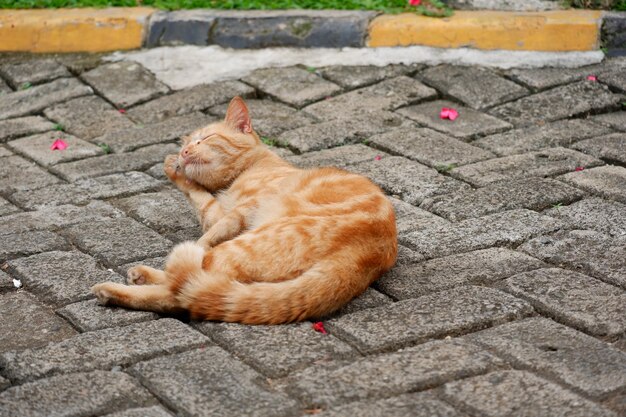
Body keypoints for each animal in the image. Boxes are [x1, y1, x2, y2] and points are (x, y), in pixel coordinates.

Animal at [91, 96, 394, 324]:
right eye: (187, 144)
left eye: (205, 139)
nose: (185, 152)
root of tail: (368, 254)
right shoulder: (219, 211)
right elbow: (200, 199)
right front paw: (175, 168)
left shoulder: (238, 213)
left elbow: (204, 230)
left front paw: (175, 170)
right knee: (188, 292)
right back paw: (133, 281)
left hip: (243, 244)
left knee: (184, 285)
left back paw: (114, 288)